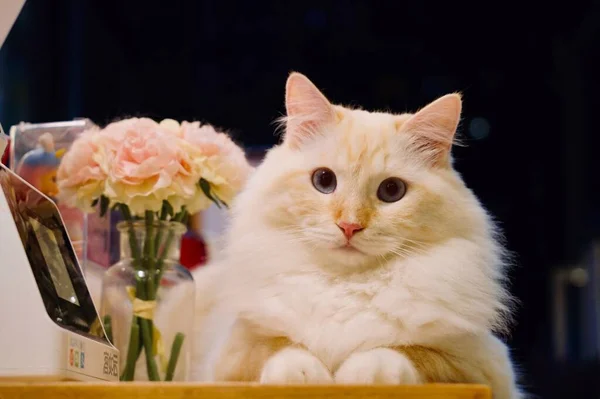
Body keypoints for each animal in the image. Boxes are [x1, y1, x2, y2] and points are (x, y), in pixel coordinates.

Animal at [191, 72, 520, 399]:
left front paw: (361, 376)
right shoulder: (232, 353)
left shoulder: (480, 367)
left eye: (392, 191)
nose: (349, 226)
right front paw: (306, 379)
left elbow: (401, 352)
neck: (345, 287)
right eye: (324, 181)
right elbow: (282, 348)